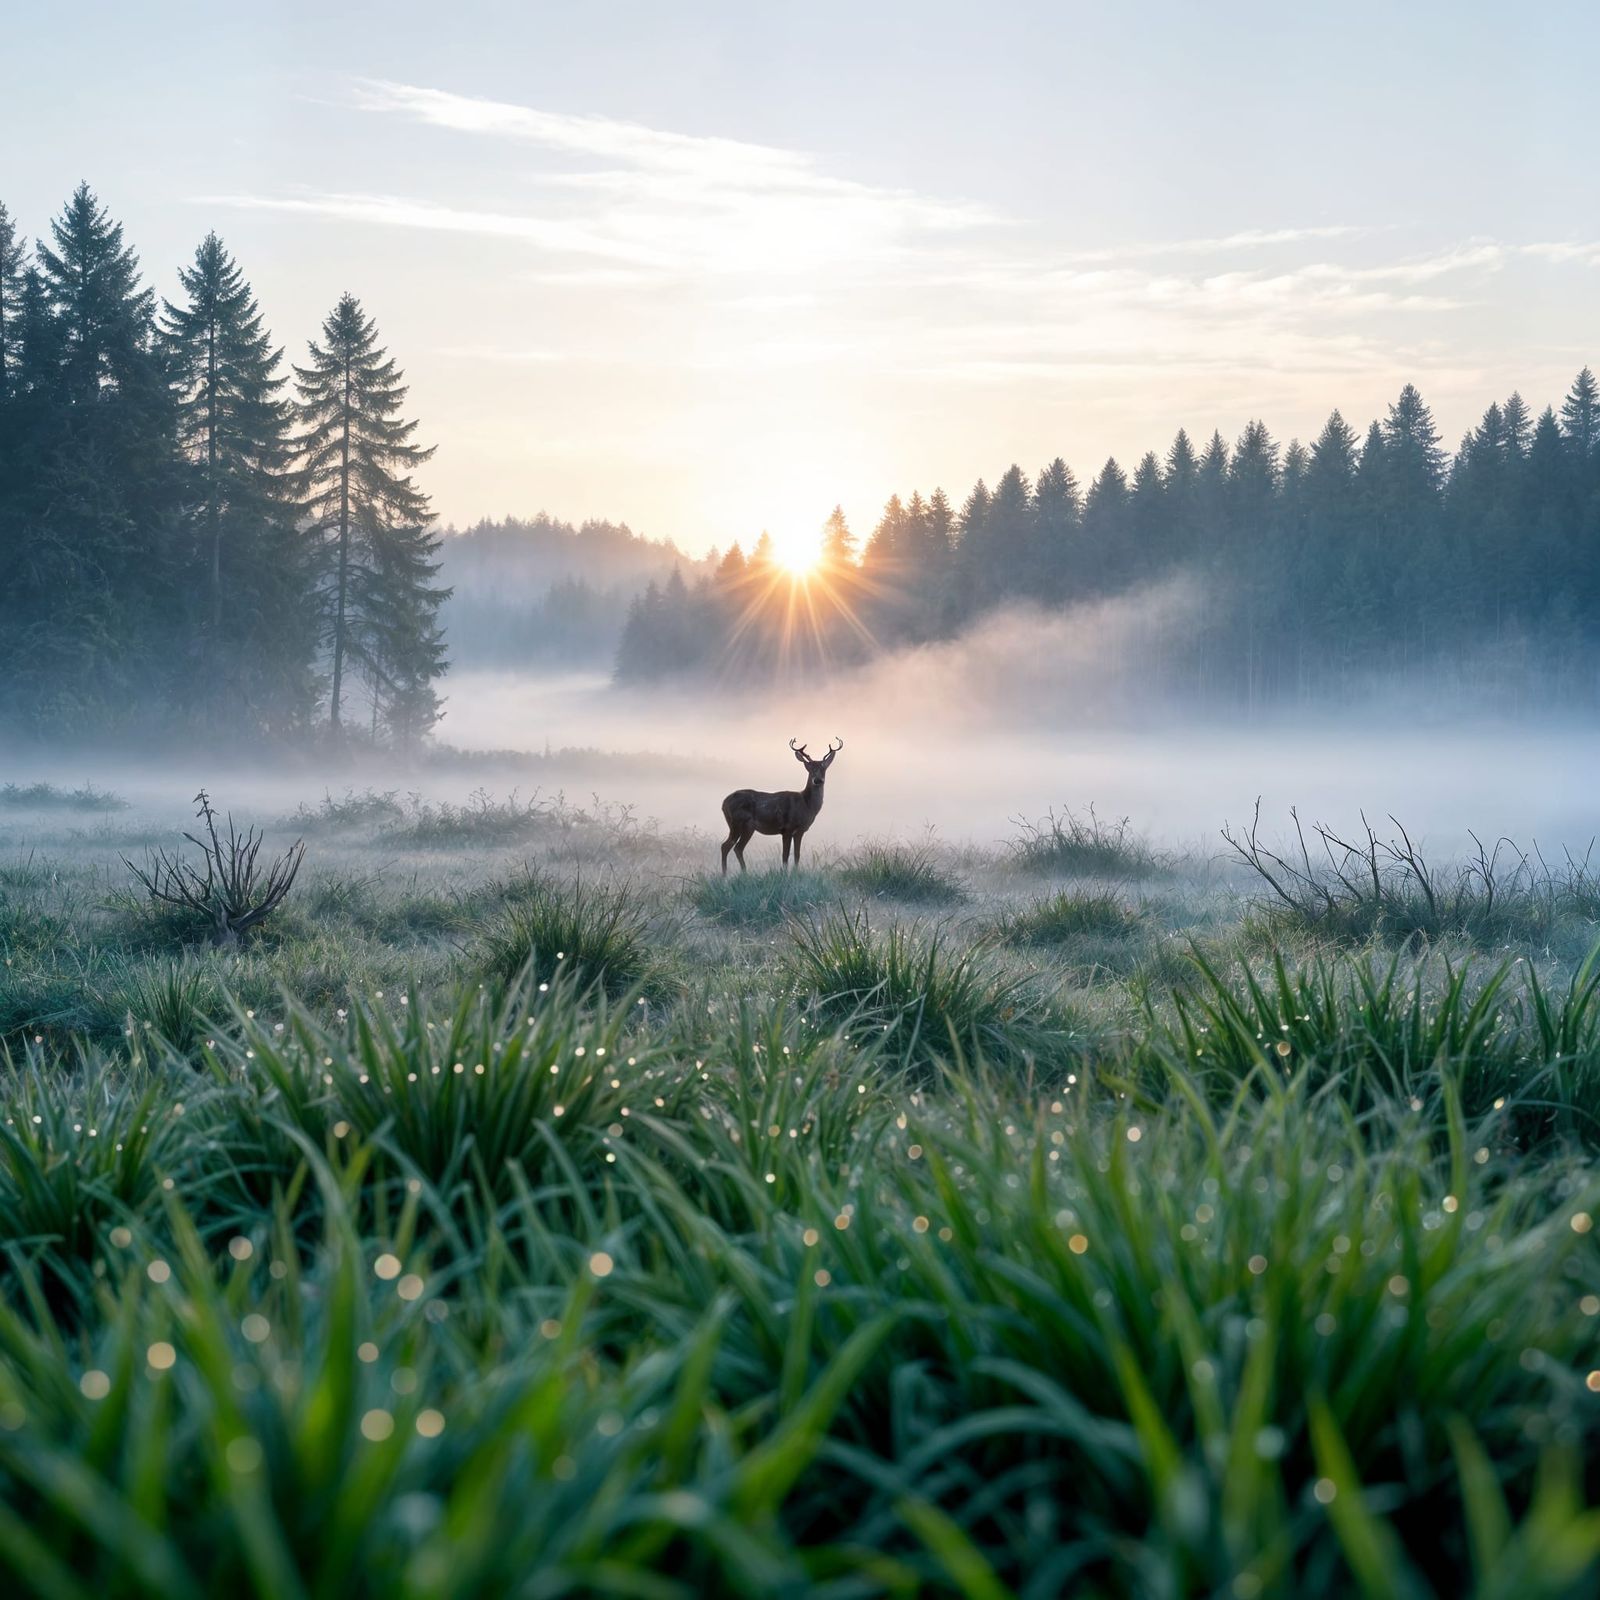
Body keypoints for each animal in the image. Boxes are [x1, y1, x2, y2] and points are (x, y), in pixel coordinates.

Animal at [720, 737, 843, 874]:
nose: (818, 780)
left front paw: (795, 873)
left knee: (733, 847)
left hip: (742, 826)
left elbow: (797, 854)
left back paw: (733, 874)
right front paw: (785, 873)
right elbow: (785, 855)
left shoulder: (800, 830)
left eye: (823, 768)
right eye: (810, 768)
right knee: (730, 846)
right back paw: (732, 874)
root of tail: (724, 803)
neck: (807, 805)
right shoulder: (787, 828)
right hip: (740, 823)